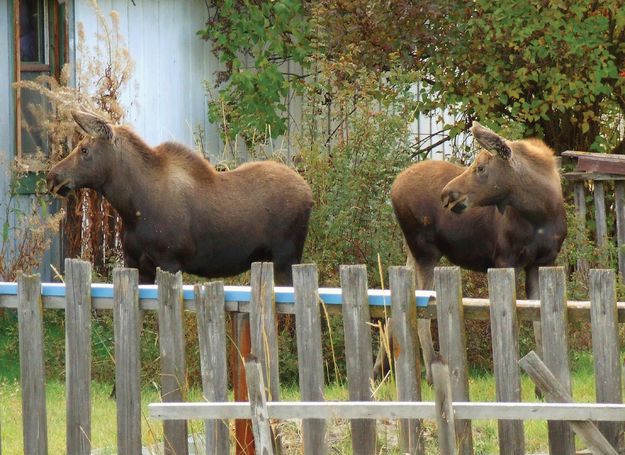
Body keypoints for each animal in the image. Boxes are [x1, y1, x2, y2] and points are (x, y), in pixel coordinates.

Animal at [45, 111, 312, 284]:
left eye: (84, 150)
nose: (52, 176)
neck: (132, 208)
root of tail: (309, 194)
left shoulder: (170, 262)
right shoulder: (135, 264)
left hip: (287, 257)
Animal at [372, 120, 568, 382]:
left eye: (481, 168)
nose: (447, 194)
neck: (541, 213)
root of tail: (393, 187)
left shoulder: (542, 263)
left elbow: (538, 322)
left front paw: (543, 380)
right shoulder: (505, 260)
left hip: (412, 254)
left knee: (394, 310)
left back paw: (378, 372)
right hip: (425, 251)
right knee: (420, 313)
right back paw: (431, 370)